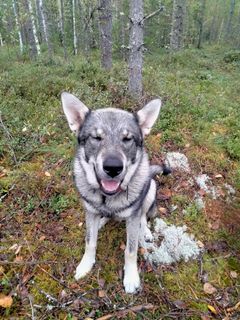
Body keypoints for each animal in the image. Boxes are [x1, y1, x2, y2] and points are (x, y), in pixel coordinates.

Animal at [61, 92, 163, 292]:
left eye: (127, 139)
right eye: (96, 137)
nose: (113, 167)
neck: (107, 198)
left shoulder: (132, 218)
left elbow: (130, 251)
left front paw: (131, 277)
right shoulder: (90, 211)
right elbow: (90, 242)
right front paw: (86, 265)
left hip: (150, 189)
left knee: (144, 216)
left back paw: (145, 231)